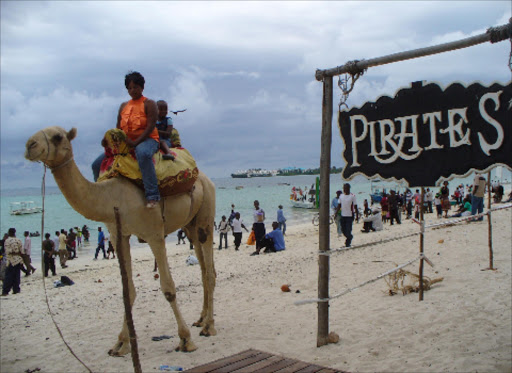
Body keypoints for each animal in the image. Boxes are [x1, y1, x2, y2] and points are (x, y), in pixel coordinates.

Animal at [25, 125, 216, 354]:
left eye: (57, 137)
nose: (30, 145)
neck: (112, 198)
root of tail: (204, 178)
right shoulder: (119, 235)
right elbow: (127, 291)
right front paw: (121, 344)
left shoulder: (153, 233)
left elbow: (168, 288)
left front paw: (185, 339)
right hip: (190, 226)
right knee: (203, 268)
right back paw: (201, 319)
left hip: (206, 213)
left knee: (210, 271)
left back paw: (209, 327)